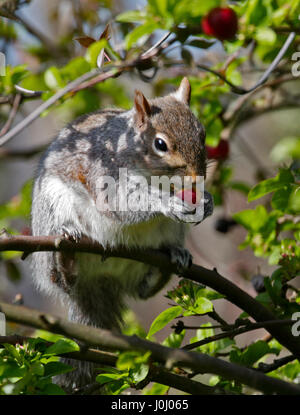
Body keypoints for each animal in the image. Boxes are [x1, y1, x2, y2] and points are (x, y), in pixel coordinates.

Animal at [30, 77, 213, 390]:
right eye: (160, 144)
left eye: (202, 134)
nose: (196, 177)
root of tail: (99, 282)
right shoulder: (105, 173)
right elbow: (120, 204)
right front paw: (167, 202)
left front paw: (207, 201)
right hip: (52, 208)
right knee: (63, 280)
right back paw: (67, 256)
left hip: (165, 238)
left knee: (143, 290)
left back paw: (172, 258)